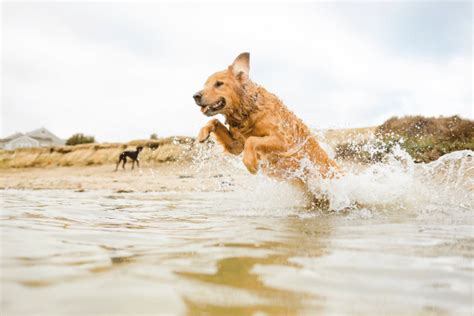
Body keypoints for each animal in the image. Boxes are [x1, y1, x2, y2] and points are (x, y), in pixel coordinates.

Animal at [193, 51, 340, 191]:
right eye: (205, 84)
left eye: (219, 84)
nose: (195, 96)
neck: (248, 111)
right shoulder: (236, 146)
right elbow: (214, 120)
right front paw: (203, 133)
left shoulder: (284, 141)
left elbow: (252, 140)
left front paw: (251, 163)